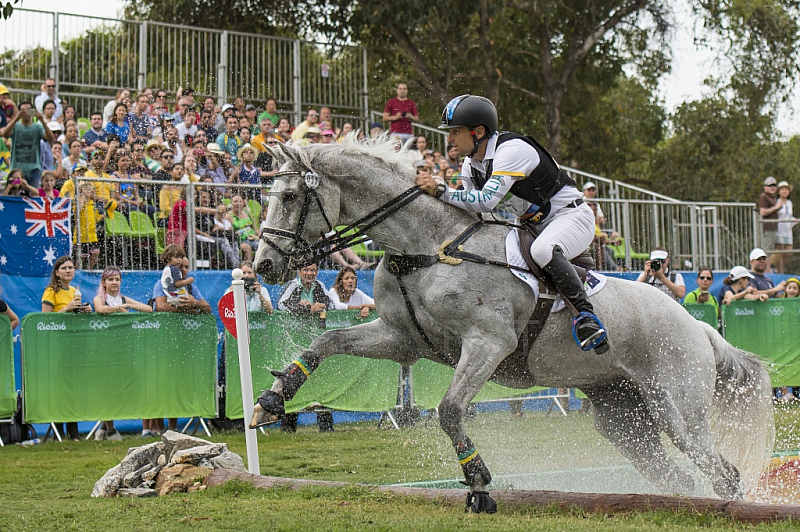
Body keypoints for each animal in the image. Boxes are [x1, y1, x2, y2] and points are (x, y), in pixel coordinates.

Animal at [250, 136, 776, 512]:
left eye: (291, 196)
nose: (264, 268)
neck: (426, 247)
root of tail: (700, 327)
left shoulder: (488, 342)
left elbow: (449, 410)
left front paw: (479, 483)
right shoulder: (403, 341)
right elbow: (327, 339)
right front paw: (270, 402)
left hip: (677, 408)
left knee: (720, 470)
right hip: (624, 418)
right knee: (679, 475)